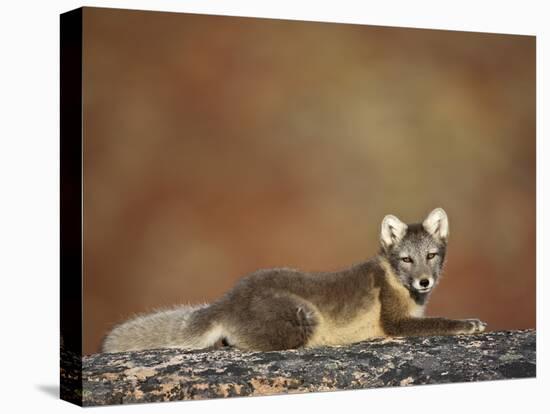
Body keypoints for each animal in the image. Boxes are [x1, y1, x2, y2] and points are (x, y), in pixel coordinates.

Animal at [102, 207, 488, 352]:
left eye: (431, 256)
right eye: (406, 259)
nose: (424, 282)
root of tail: (227, 299)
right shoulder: (395, 323)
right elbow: (441, 322)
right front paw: (469, 324)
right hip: (305, 316)